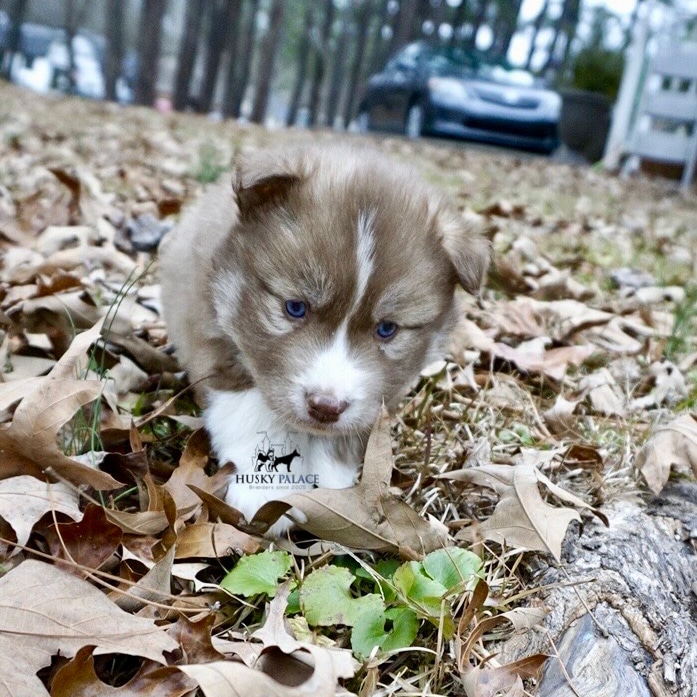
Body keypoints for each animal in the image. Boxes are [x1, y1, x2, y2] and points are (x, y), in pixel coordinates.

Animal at [161, 145, 490, 532]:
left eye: (387, 328)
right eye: (295, 307)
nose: (325, 407)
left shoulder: (378, 397)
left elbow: (344, 434)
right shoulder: (211, 331)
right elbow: (251, 409)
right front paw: (266, 490)